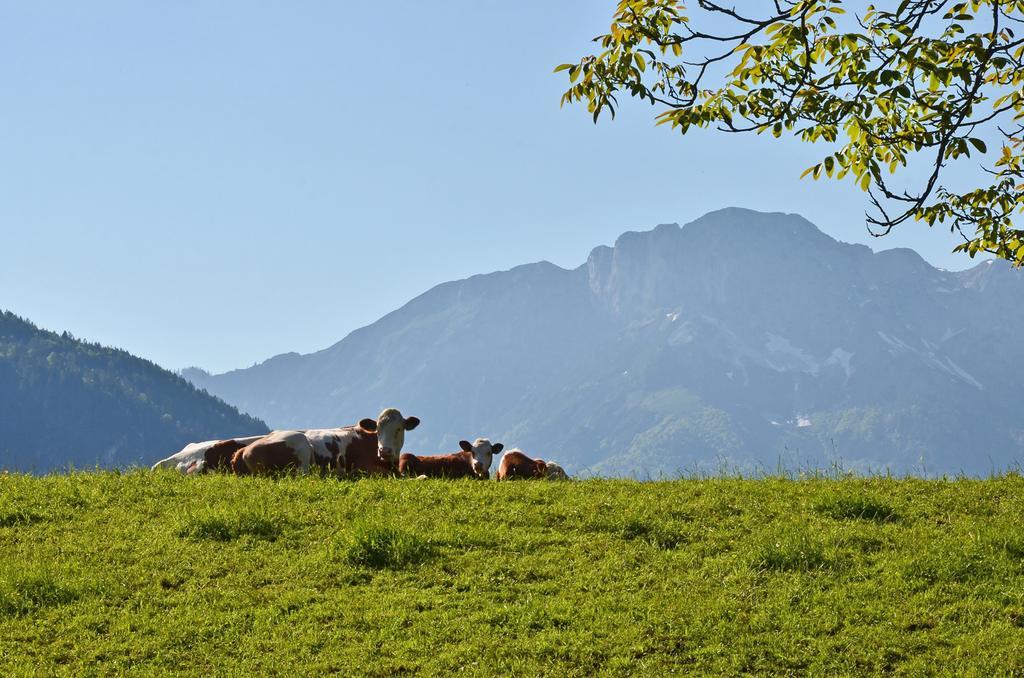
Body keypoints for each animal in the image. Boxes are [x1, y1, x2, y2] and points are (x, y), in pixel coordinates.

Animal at [232, 409, 419, 477]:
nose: (384, 451)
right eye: (377, 430)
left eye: (399, 429)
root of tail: (244, 450)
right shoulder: (362, 467)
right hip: (301, 444)